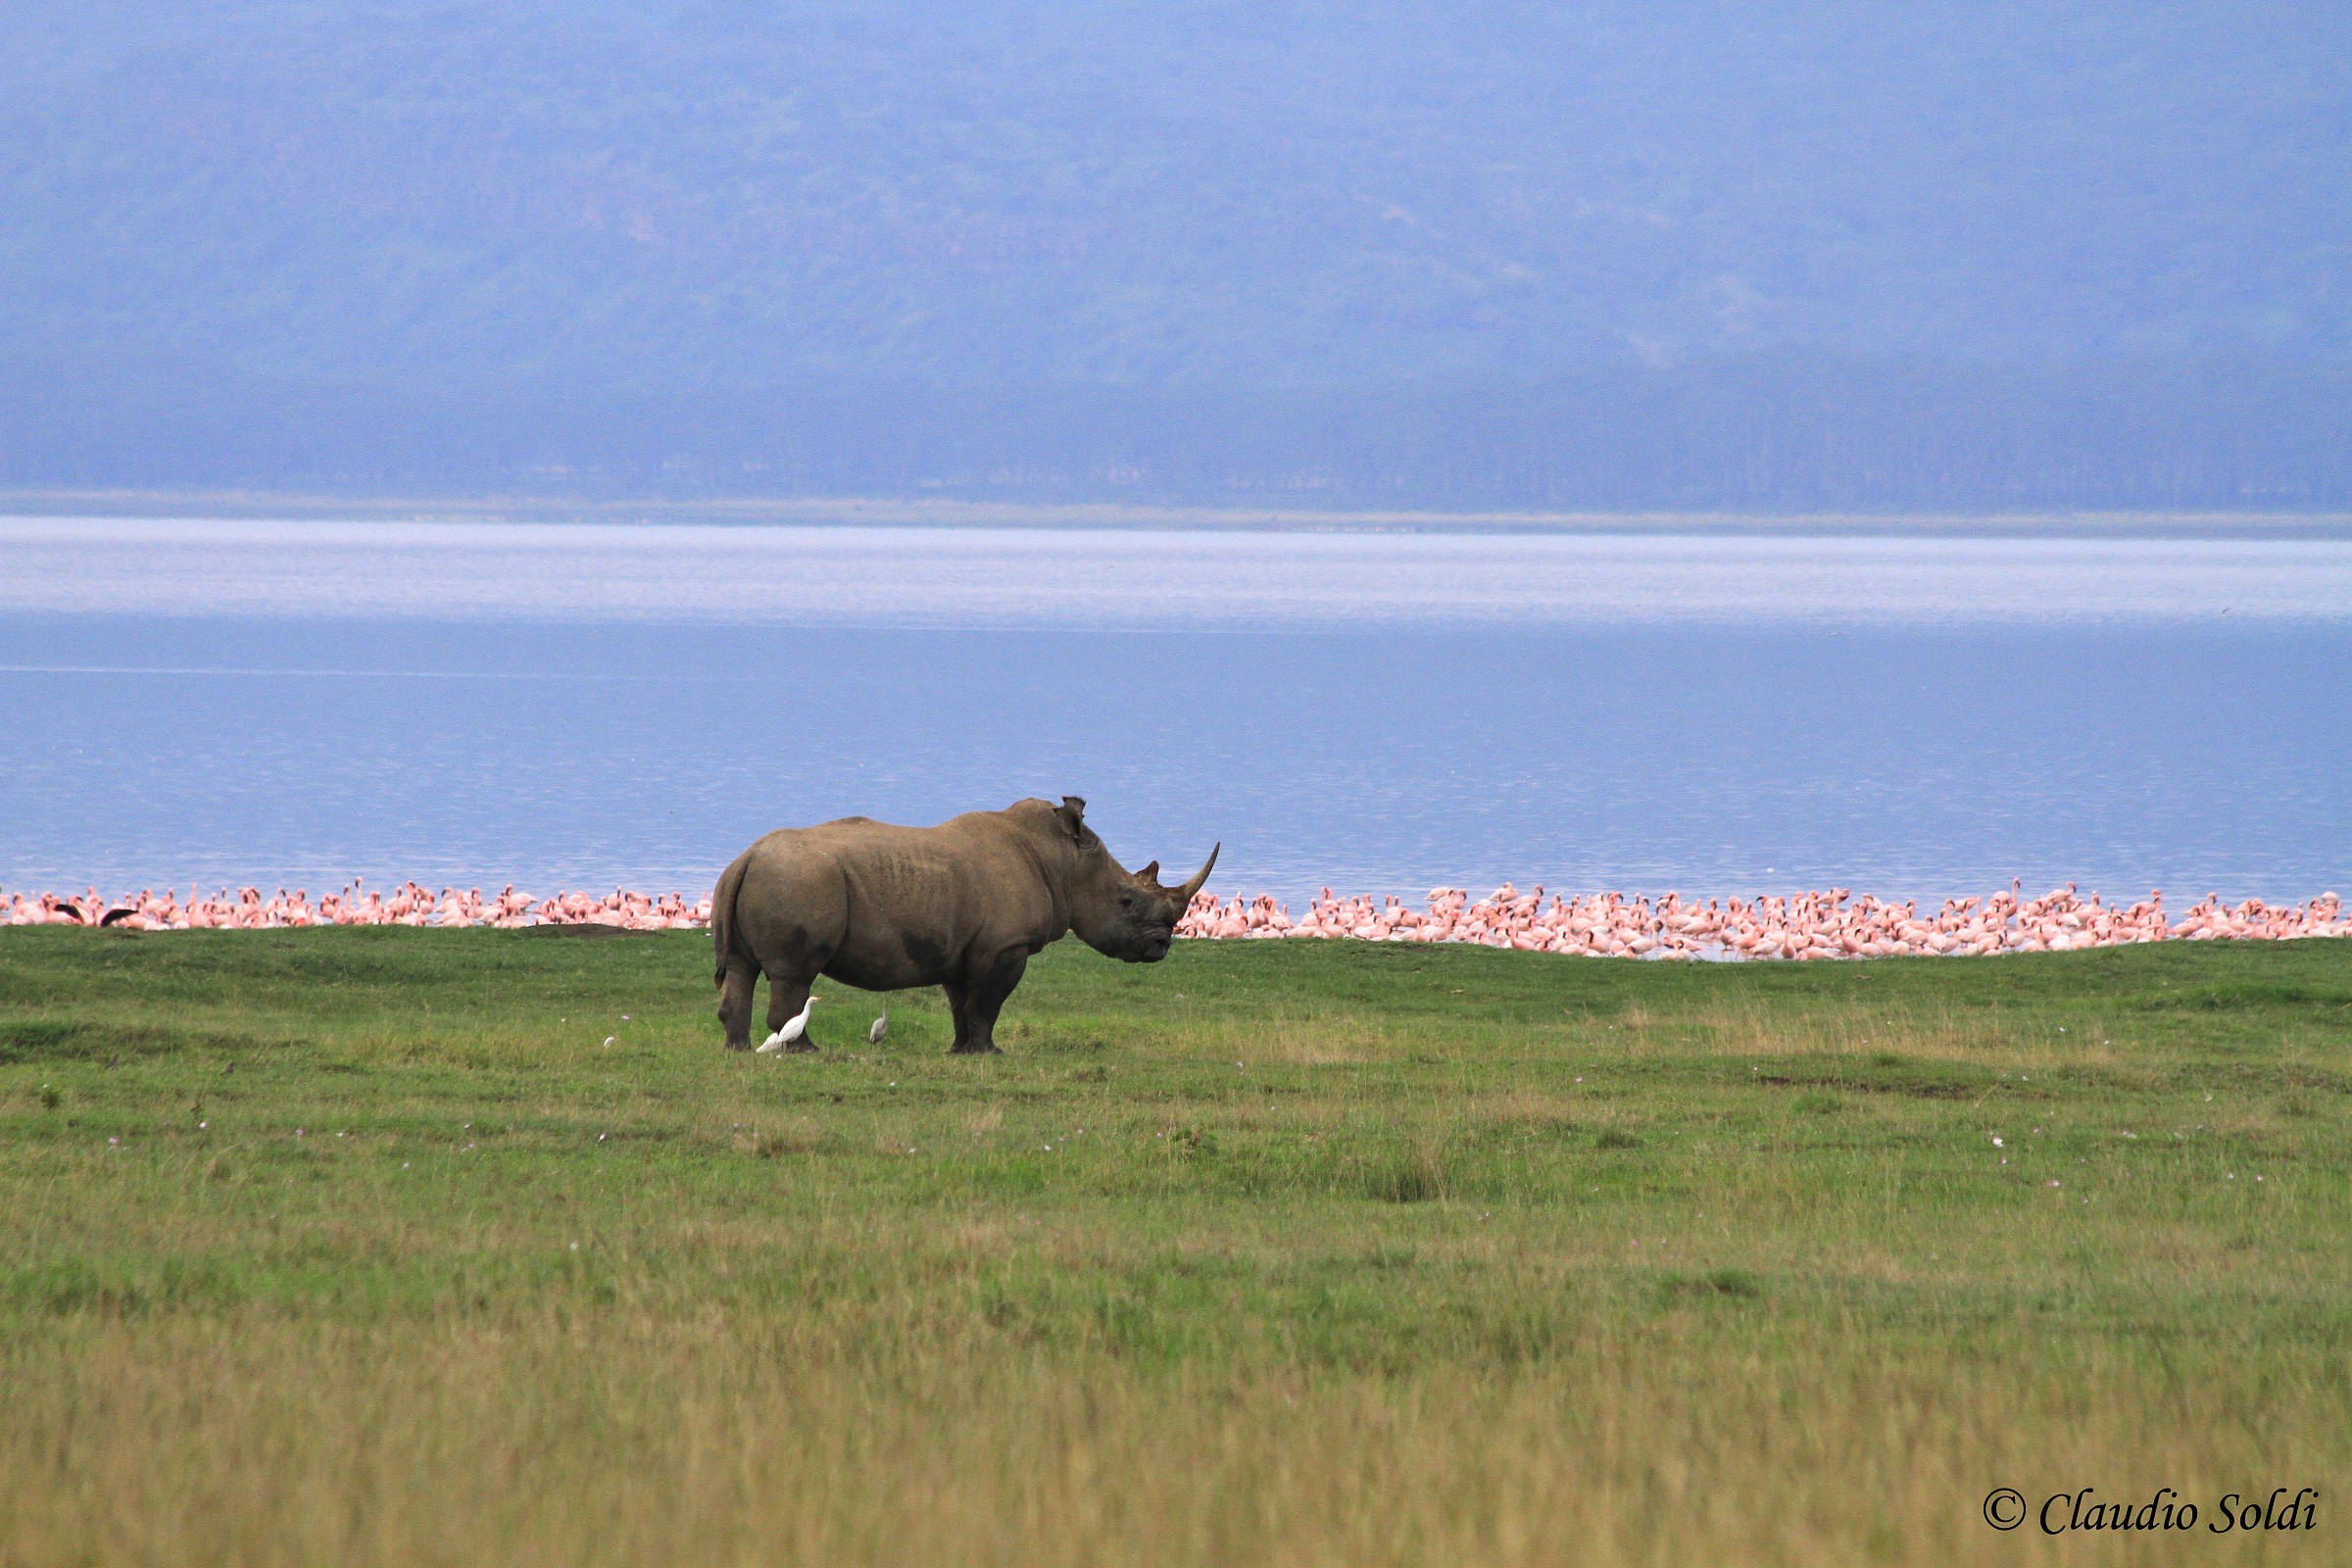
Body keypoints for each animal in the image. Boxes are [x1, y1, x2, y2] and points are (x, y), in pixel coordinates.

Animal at [710, 796, 1217, 1054]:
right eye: (1127, 901)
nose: (1162, 945)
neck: (1064, 861)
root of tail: (745, 857)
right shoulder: (1005, 946)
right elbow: (987, 1004)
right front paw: (989, 1053)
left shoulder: (962, 949)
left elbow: (962, 1004)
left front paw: (961, 1051)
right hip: (799, 881)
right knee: (794, 974)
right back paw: (806, 1052)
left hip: (768, 878)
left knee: (741, 969)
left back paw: (738, 1049)